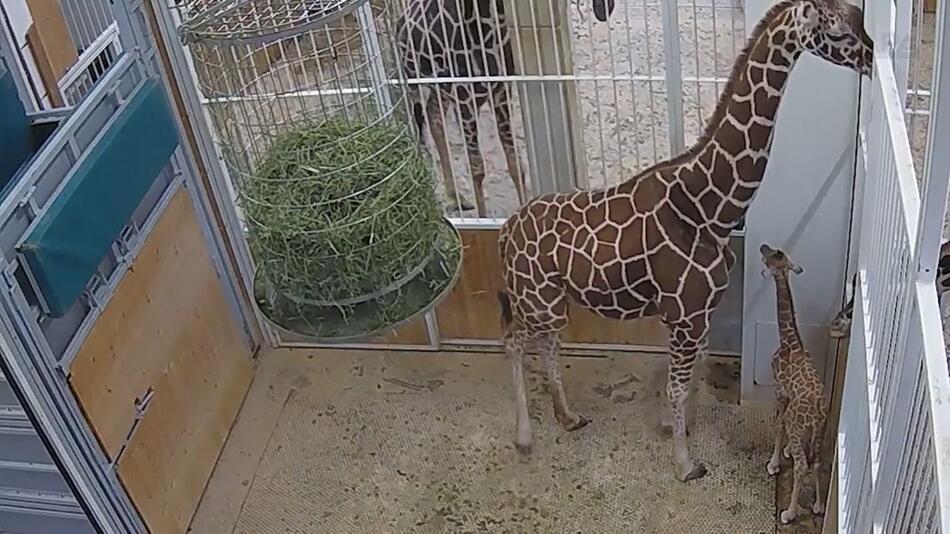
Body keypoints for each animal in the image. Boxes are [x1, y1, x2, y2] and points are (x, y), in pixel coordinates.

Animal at [394, 0, 616, 218]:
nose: (604, 9)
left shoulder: (501, 93)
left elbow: (515, 163)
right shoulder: (466, 100)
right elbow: (477, 168)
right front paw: (483, 219)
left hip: (441, 90)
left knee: (434, 119)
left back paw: (457, 199)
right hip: (416, 85)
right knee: (424, 126)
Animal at [498, 0, 876, 486]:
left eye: (860, 19)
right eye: (841, 33)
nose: (873, 60)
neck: (710, 207)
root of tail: (504, 231)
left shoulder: (701, 312)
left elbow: (693, 374)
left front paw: (678, 429)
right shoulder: (684, 314)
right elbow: (677, 386)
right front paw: (684, 462)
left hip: (552, 302)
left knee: (547, 344)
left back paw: (568, 417)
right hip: (534, 300)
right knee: (512, 342)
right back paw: (525, 437)